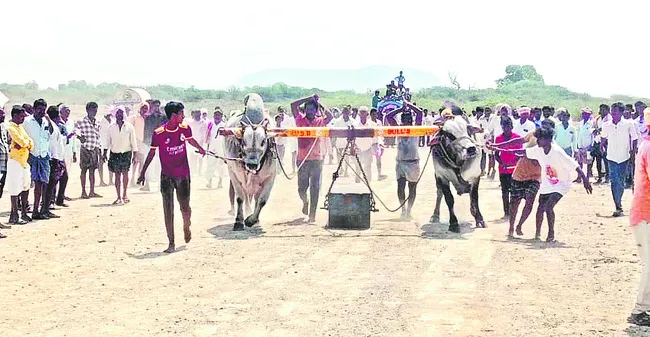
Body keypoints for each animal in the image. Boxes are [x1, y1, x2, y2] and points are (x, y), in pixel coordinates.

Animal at [223, 94, 276, 231]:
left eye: (263, 141)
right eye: (243, 141)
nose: (252, 164)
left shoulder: (270, 177)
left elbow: (262, 200)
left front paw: (251, 220)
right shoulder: (234, 174)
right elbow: (240, 198)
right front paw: (239, 221)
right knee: (246, 197)